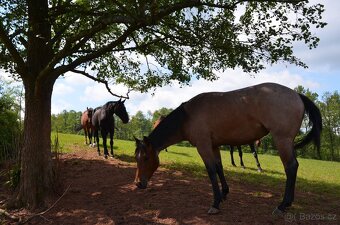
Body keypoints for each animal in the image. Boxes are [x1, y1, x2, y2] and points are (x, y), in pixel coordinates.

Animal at [133, 82, 322, 214]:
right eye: (137, 157)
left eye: (146, 158)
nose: (138, 183)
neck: (188, 116)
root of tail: (296, 94)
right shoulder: (214, 146)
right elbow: (219, 168)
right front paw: (224, 194)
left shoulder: (203, 146)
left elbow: (211, 171)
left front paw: (215, 203)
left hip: (282, 140)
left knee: (290, 167)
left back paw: (283, 205)